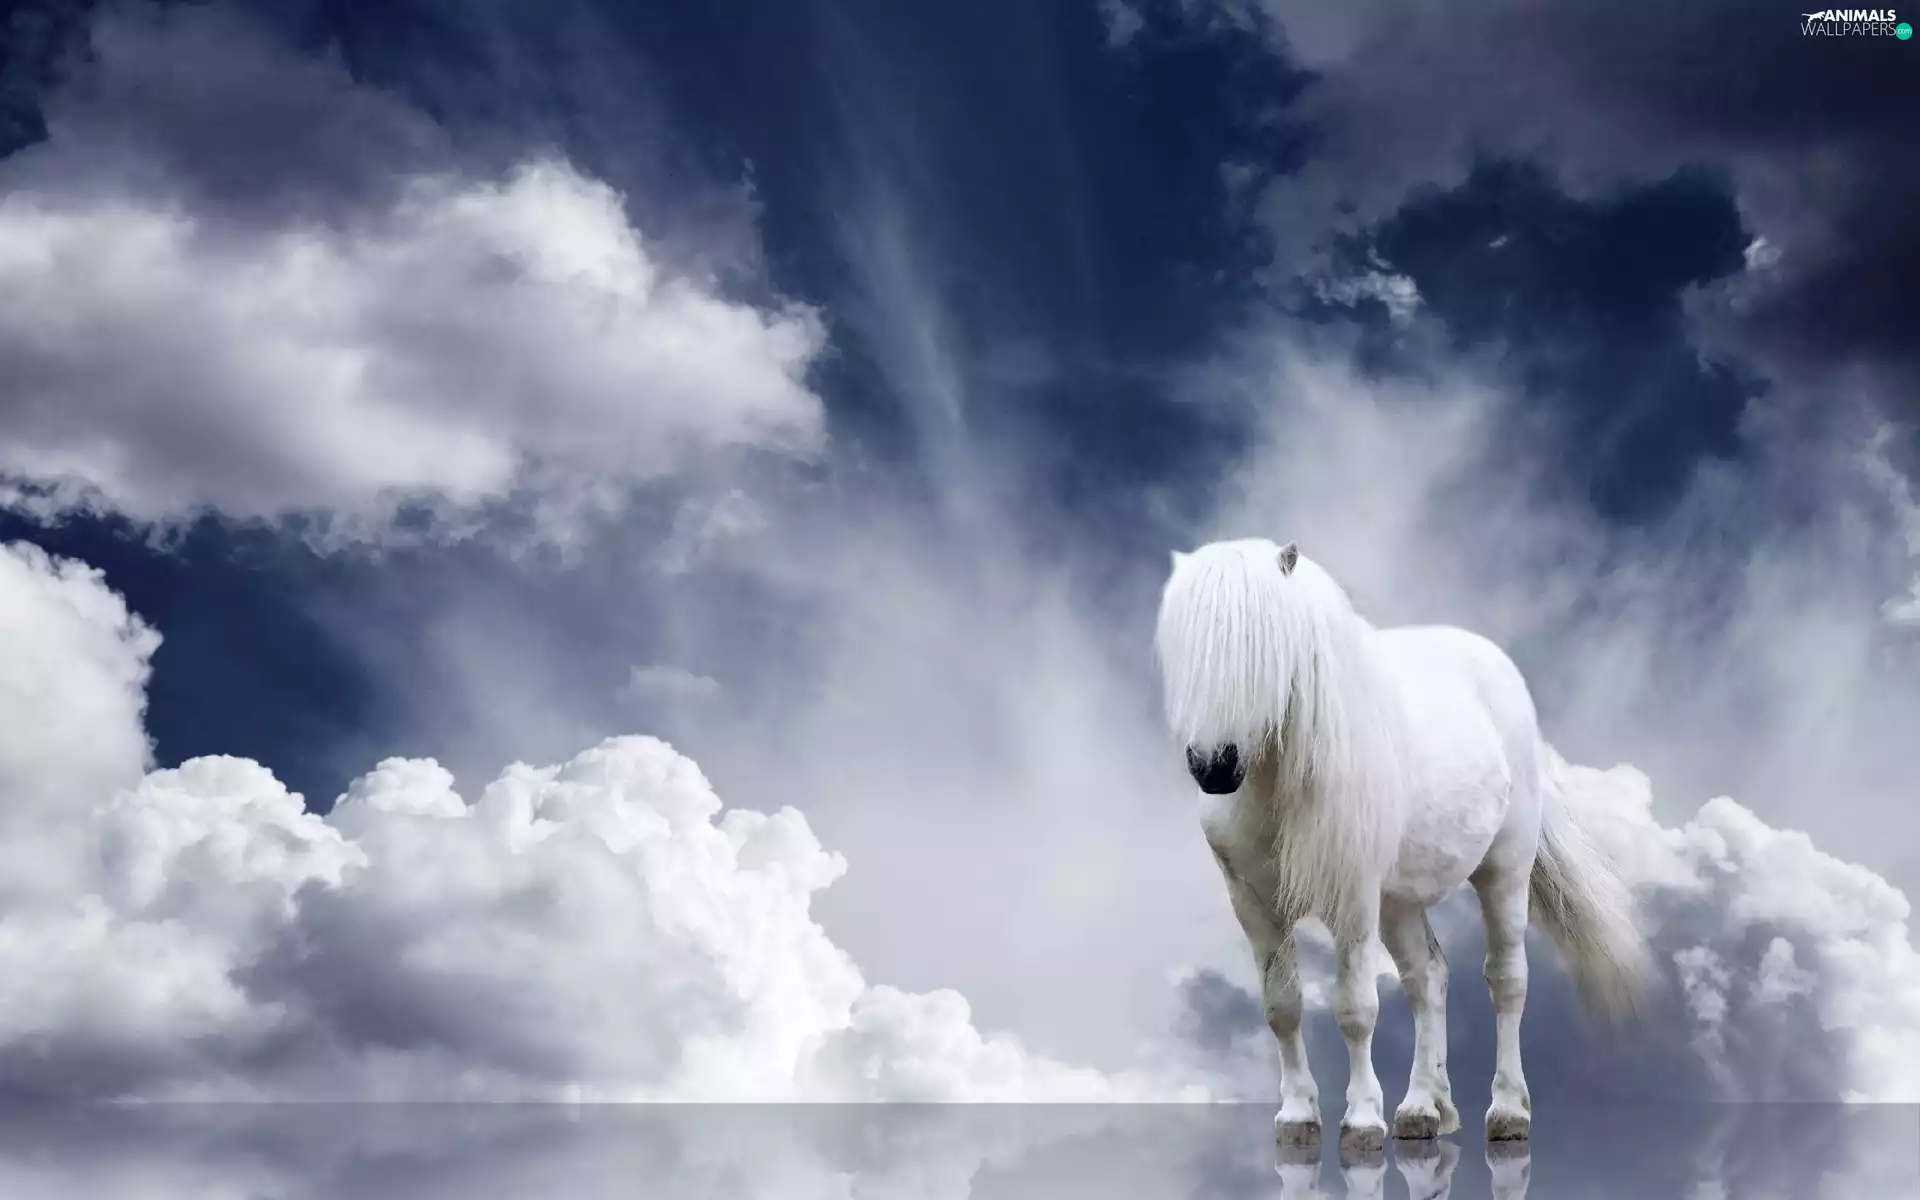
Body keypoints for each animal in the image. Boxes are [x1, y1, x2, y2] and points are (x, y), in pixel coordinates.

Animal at [1154, 537, 1651, 1152]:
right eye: (1184, 650)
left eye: (1264, 647)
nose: (1215, 766)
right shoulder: (1253, 902)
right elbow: (1281, 1006)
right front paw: (1297, 1117)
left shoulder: (1353, 897)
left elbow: (1355, 1008)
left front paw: (1362, 1120)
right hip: (1398, 902)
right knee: (1428, 979)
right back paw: (1423, 1109)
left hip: (1503, 871)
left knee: (1506, 979)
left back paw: (1507, 1111)